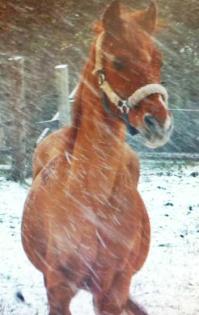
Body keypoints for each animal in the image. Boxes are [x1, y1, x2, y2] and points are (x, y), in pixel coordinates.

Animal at [22, 1, 173, 314]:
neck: (91, 202)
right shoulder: (58, 290)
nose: (159, 124)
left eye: (159, 61)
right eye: (117, 61)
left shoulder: (111, 291)